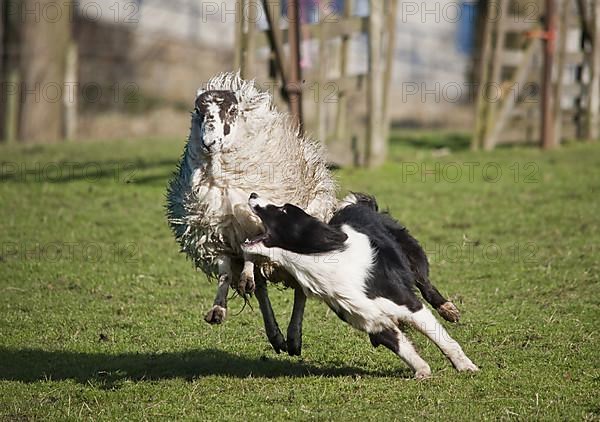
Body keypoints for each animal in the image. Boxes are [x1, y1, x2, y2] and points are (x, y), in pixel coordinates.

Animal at [166, 71, 340, 352]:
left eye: (232, 110)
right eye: (198, 111)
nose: (209, 142)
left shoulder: (253, 223)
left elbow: (250, 251)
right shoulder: (212, 237)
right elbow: (225, 272)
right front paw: (218, 310)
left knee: (299, 289)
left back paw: (293, 337)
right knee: (260, 290)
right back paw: (275, 335)